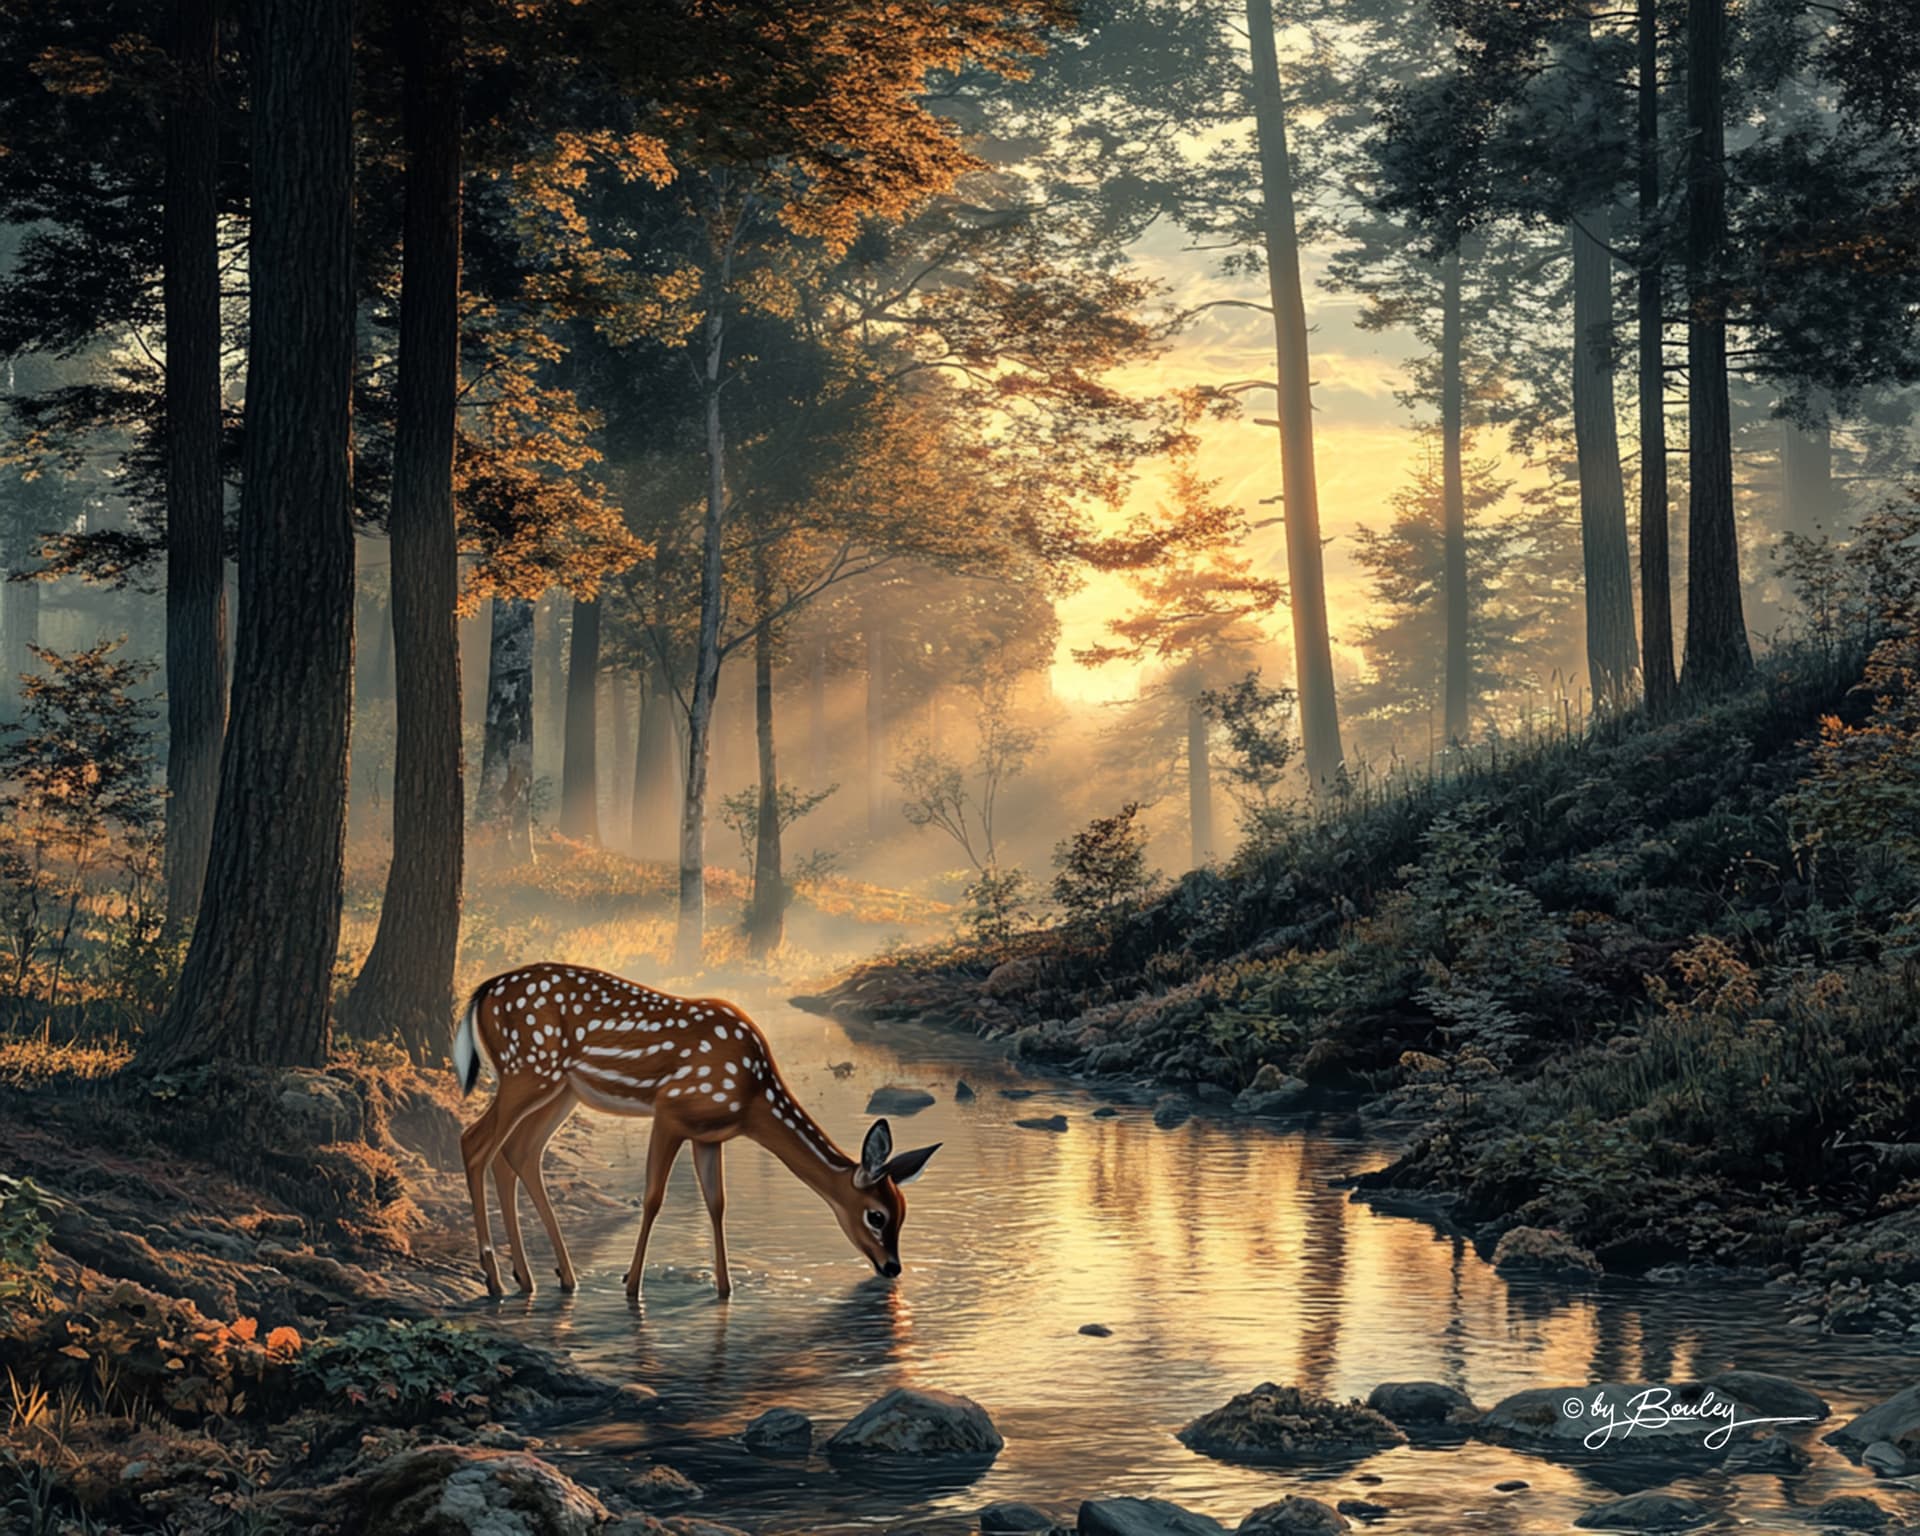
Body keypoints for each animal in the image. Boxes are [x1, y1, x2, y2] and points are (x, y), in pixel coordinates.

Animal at [451, 963, 940, 1300]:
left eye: (904, 1212)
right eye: (876, 1215)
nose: (893, 1268)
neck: (753, 1097)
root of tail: (481, 993)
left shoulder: (709, 1135)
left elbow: (717, 1204)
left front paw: (724, 1289)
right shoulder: (670, 1111)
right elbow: (653, 1197)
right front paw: (632, 1286)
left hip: (561, 1089)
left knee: (518, 1151)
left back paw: (545, 1277)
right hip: (527, 1068)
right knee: (475, 1142)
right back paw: (496, 1279)